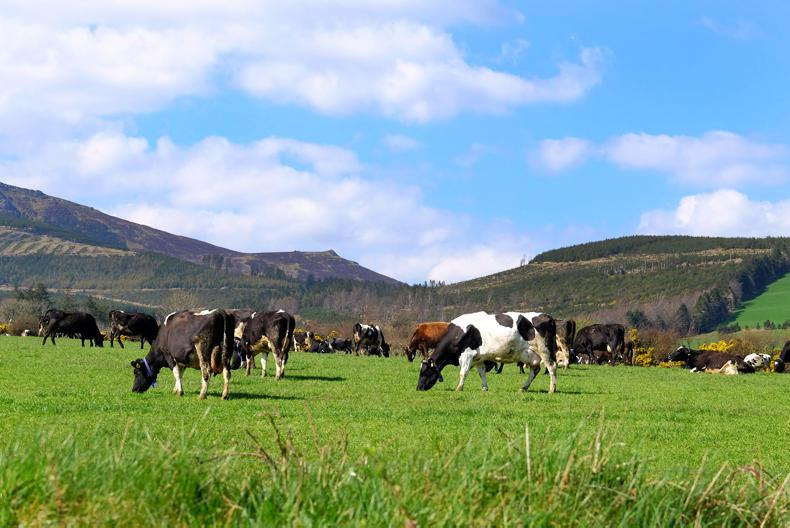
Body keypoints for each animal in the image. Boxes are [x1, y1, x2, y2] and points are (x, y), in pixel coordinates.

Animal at [417, 311, 558, 394]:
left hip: (545, 350)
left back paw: (552, 389)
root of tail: (547, 316)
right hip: (531, 355)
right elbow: (482, 373)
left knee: (552, 367)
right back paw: (523, 388)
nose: (418, 388)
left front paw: (459, 388)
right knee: (535, 370)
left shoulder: (467, 354)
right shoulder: (478, 358)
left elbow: (463, 373)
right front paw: (484, 388)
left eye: (424, 372)